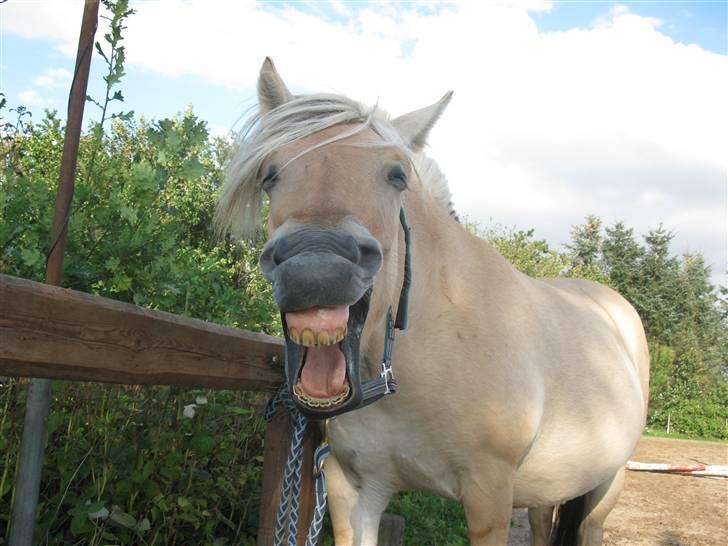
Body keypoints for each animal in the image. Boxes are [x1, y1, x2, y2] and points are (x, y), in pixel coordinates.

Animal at [215, 57, 648, 540]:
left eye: (397, 176)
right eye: (269, 174)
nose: (315, 269)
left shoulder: (489, 497)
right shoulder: (353, 489)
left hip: (607, 483)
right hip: (549, 491)